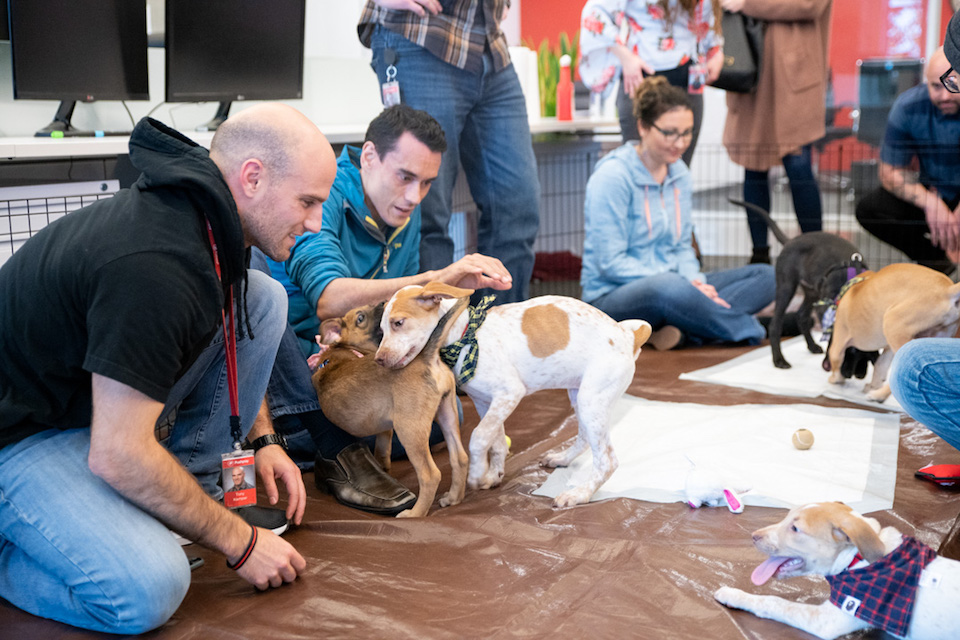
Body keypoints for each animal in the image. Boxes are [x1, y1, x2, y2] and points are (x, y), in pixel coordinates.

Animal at [312, 302, 468, 520]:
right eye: (360, 317)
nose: (383, 302)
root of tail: (425, 357)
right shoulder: (384, 430)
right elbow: (382, 455)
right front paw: (383, 469)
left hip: (410, 430)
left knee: (430, 475)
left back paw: (415, 514)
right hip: (447, 414)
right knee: (460, 458)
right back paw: (453, 498)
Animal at [376, 282, 652, 508]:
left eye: (398, 323)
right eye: (381, 329)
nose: (378, 359)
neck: (465, 336)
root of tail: (628, 335)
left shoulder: (509, 393)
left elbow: (478, 437)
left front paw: (476, 473)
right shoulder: (485, 402)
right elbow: (496, 439)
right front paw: (494, 474)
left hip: (591, 400)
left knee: (607, 460)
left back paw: (579, 495)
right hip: (580, 397)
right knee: (584, 438)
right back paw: (562, 458)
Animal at [716, 502, 956, 640]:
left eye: (795, 528)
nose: (753, 536)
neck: (856, 558)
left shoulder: (830, 618)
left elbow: (773, 602)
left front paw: (732, 595)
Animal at [732, 200, 868, 370]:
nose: (828, 365)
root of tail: (791, 240)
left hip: (811, 291)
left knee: (802, 316)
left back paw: (812, 346)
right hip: (787, 286)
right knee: (775, 324)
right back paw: (779, 360)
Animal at [824, 262, 960, 400]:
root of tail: (948, 289)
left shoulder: (838, 343)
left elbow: (835, 358)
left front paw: (835, 379)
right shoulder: (888, 349)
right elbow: (880, 366)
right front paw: (873, 385)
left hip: (893, 324)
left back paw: (878, 396)